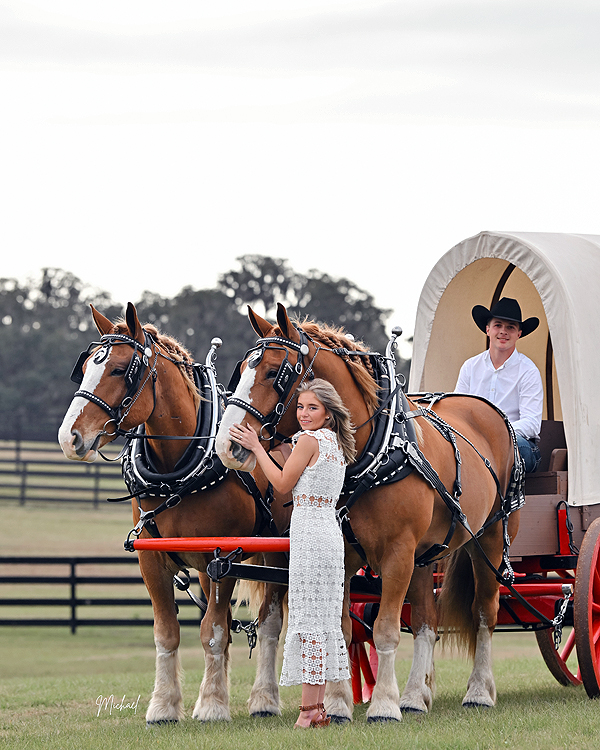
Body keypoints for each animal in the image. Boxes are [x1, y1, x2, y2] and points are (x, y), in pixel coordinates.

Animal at [58, 302, 292, 723]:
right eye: (84, 368)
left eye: (120, 369)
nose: (69, 437)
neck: (177, 473)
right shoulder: (153, 561)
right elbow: (169, 632)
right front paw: (165, 706)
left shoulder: (222, 558)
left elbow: (213, 632)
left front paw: (212, 704)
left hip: (278, 553)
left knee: (269, 623)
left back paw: (265, 699)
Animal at [215, 303, 520, 722]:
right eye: (241, 367)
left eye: (275, 372)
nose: (227, 445)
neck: (373, 451)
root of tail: (488, 409)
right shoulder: (346, 554)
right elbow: (344, 629)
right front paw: (338, 703)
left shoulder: (397, 553)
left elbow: (386, 629)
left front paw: (383, 705)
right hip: (424, 556)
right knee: (426, 622)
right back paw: (415, 696)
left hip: (488, 539)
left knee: (484, 612)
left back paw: (478, 692)